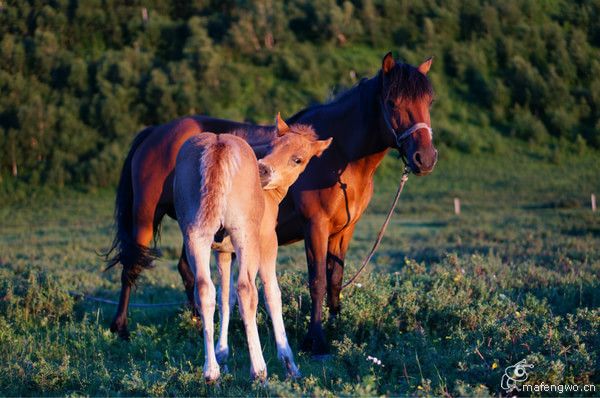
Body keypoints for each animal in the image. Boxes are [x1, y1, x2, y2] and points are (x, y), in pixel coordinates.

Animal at [105, 52, 438, 354]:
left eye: (429, 102)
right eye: (392, 102)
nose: (425, 158)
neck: (337, 155)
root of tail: (156, 132)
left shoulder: (344, 231)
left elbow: (335, 280)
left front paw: (336, 327)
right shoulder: (315, 227)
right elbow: (317, 280)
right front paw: (315, 340)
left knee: (187, 270)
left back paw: (200, 324)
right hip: (146, 217)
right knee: (131, 267)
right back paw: (121, 328)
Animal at [172, 114, 332, 382]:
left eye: (297, 159)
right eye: (271, 147)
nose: (262, 170)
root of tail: (218, 145)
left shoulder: (223, 252)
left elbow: (225, 297)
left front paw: (222, 355)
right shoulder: (267, 244)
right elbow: (271, 295)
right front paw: (289, 363)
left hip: (196, 236)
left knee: (204, 289)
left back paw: (211, 371)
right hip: (246, 237)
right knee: (247, 290)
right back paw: (259, 370)